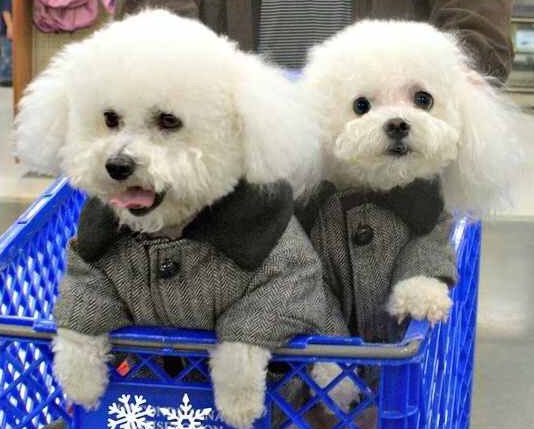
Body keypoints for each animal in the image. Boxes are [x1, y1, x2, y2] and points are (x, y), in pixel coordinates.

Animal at [14, 10, 354, 428]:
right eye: (109, 118)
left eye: (168, 120)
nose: (117, 165)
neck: (170, 235)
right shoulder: (88, 263)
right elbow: (78, 323)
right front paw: (81, 382)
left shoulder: (286, 279)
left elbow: (243, 344)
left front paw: (239, 404)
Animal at [304, 21, 528, 340]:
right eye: (360, 106)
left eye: (424, 99)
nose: (397, 124)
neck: (381, 195)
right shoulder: (320, 269)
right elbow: (323, 309)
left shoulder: (432, 231)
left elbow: (423, 264)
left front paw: (421, 298)